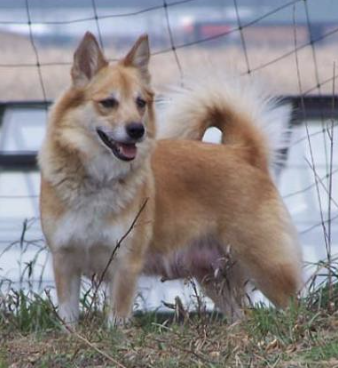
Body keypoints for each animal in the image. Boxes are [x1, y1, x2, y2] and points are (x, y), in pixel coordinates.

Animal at [39, 30, 302, 324]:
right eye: (108, 103)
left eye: (140, 103)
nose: (137, 130)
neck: (99, 179)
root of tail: (242, 152)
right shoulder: (65, 262)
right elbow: (68, 318)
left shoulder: (125, 265)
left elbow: (116, 320)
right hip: (215, 277)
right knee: (242, 314)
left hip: (267, 267)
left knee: (292, 306)